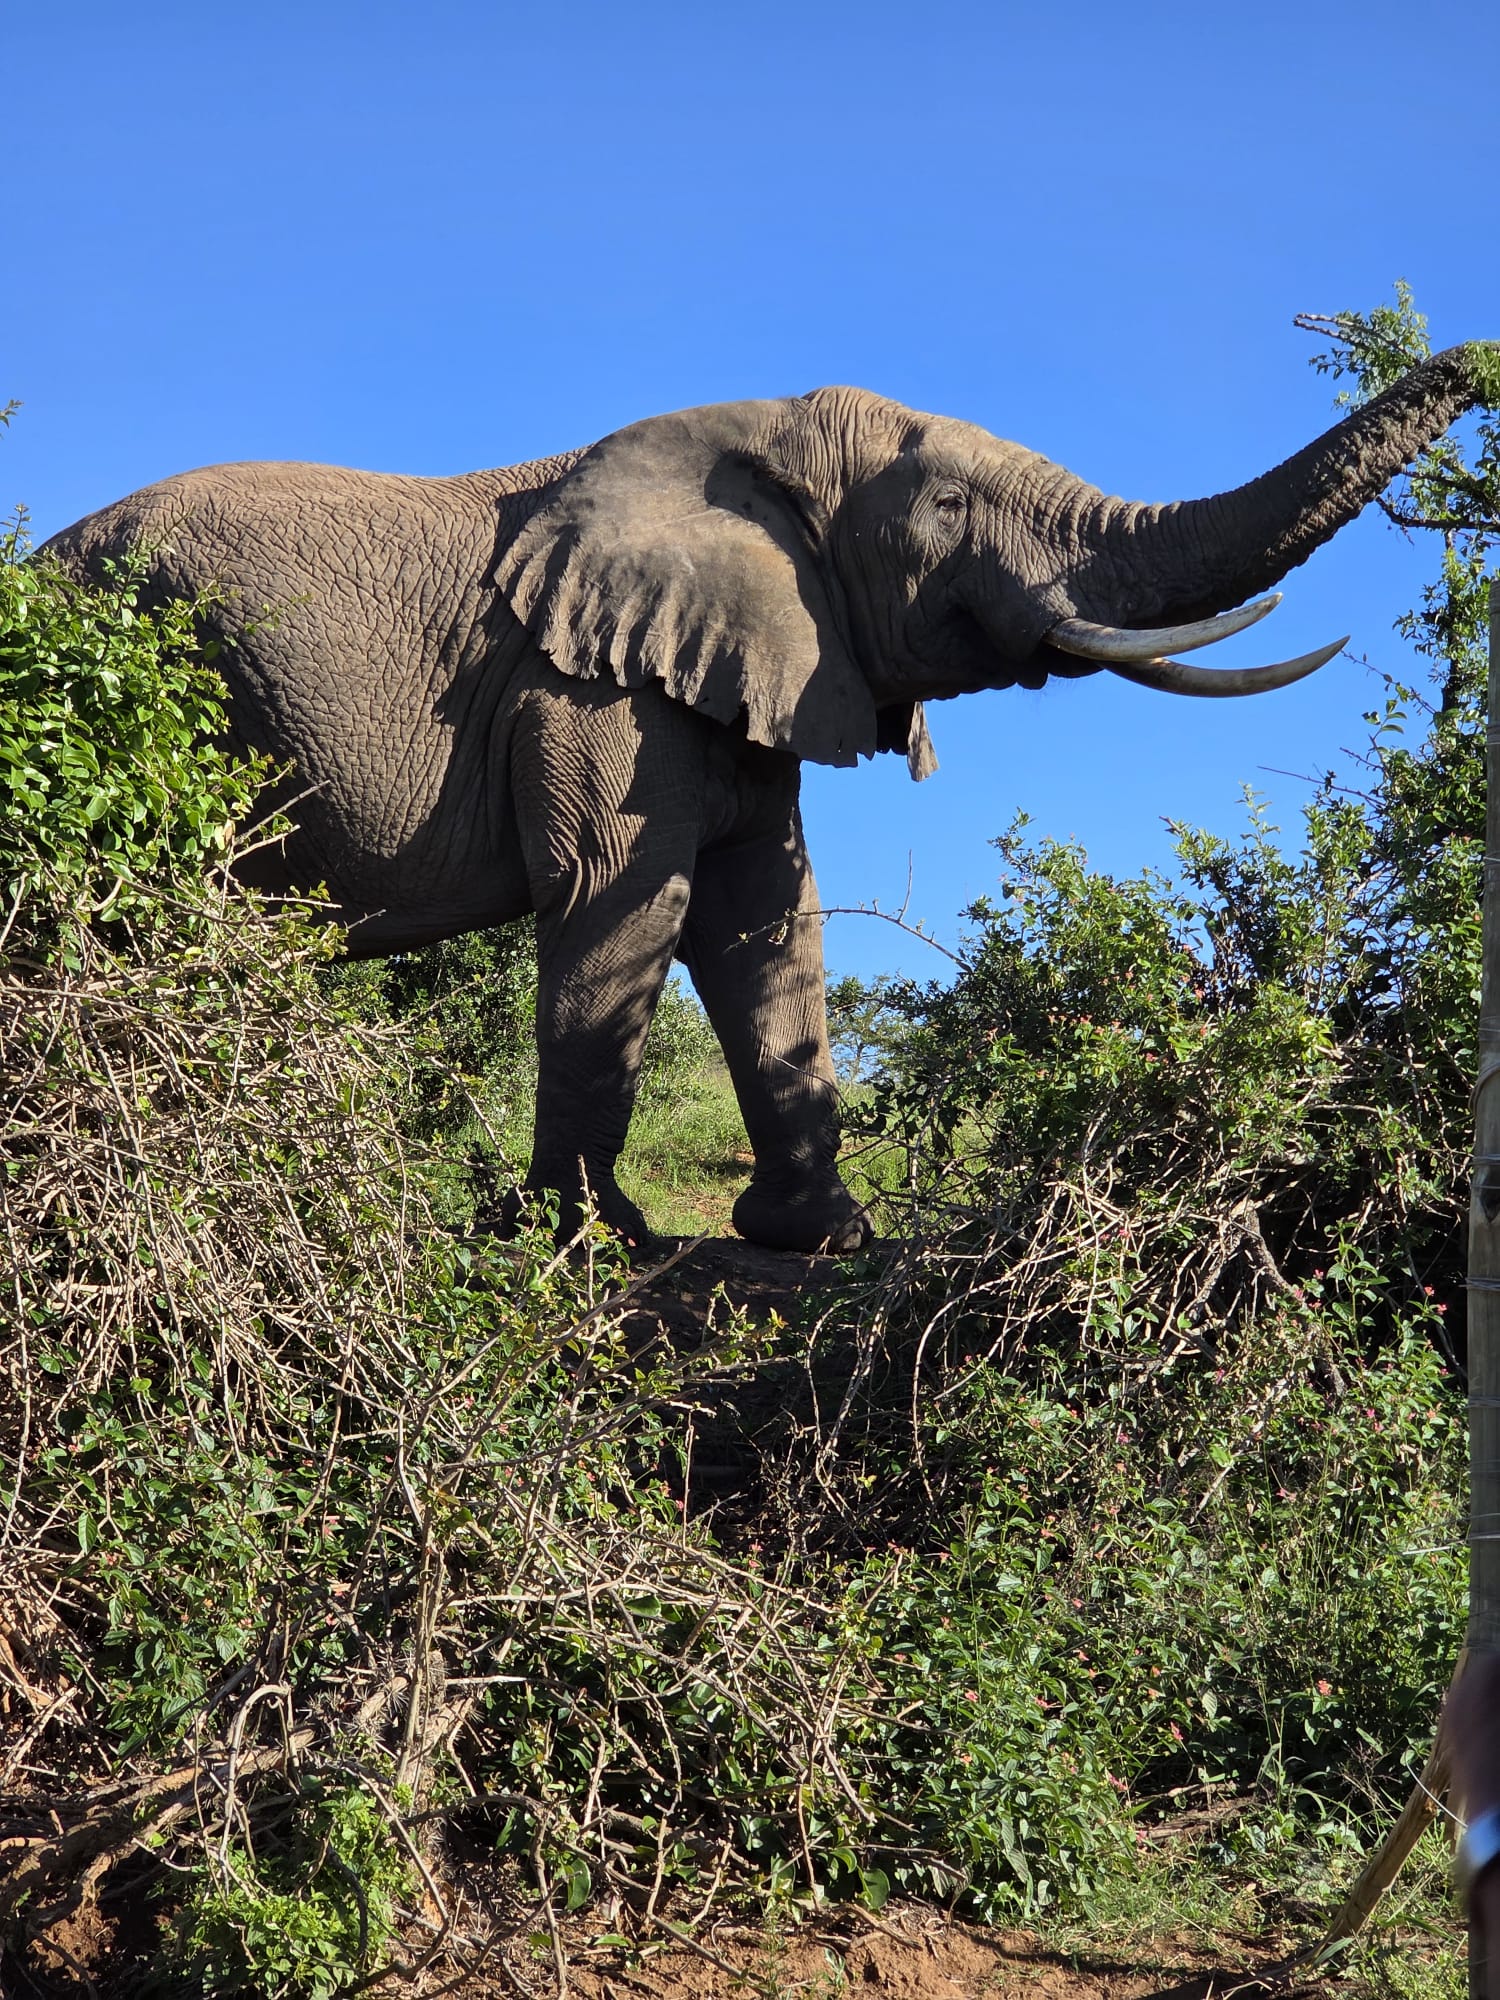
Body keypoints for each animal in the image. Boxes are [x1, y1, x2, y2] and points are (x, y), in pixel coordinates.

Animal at [43, 343, 1495, 1253]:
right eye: (949, 502)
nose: (1471, 360)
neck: (751, 444)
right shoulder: (590, 689)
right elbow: (626, 904)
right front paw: (593, 1244)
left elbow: (763, 922)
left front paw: (820, 1238)